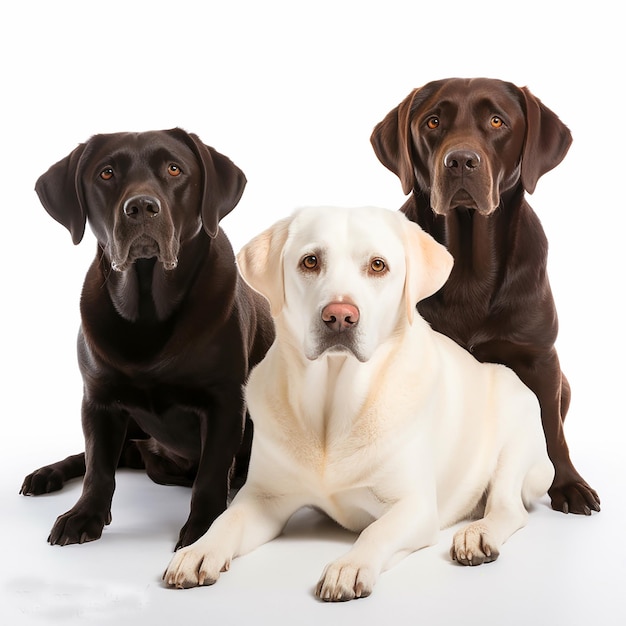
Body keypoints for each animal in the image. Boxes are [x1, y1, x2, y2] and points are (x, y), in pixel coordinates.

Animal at [20, 127, 272, 544]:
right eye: (106, 173)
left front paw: (204, 529)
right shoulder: (99, 399)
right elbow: (98, 467)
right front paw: (84, 516)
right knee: (94, 456)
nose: (140, 207)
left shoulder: (225, 402)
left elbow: (212, 472)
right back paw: (46, 474)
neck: (148, 310)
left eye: (174, 169)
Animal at [161, 206, 552, 600]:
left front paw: (348, 566)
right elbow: (227, 520)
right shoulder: (262, 498)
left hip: (517, 436)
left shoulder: (414, 506)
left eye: (378, 265)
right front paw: (199, 550)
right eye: (310, 261)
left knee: (508, 508)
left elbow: (375, 531)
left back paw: (476, 535)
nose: (339, 316)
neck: (332, 405)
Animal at [368, 78, 596, 512]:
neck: (469, 269)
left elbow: (551, 429)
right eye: (433, 121)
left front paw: (568, 484)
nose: (460, 161)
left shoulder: (540, 357)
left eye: (496, 121)